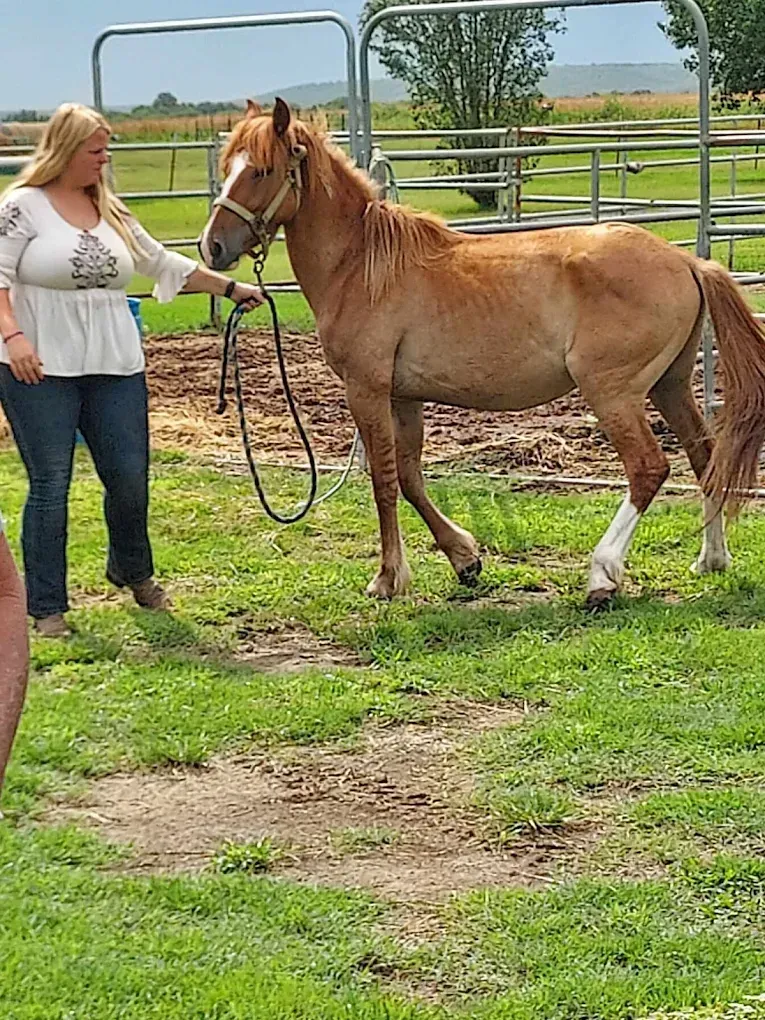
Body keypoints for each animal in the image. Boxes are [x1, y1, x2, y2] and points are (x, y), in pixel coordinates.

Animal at [200, 98, 765, 607]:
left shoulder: (367, 390)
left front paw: (388, 579)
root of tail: (686, 262)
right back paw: (711, 559)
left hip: (614, 393)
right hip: (669, 385)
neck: (360, 265)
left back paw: (603, 576)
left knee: (649, 469)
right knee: (705, 458)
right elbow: (409, 476)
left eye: (262, 170)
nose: (212, 248)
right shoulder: (404, 396)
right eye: (227, 168)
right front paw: (464, 559)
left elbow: (383, 480)